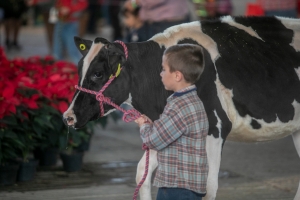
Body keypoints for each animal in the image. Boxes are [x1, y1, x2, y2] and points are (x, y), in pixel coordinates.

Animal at [62, 16, 300, 200]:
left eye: (98, 74)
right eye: (79, 69)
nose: (68, 116)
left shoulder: (215, 126)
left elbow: (208, 187)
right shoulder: (163, 129)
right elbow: (142, 175)